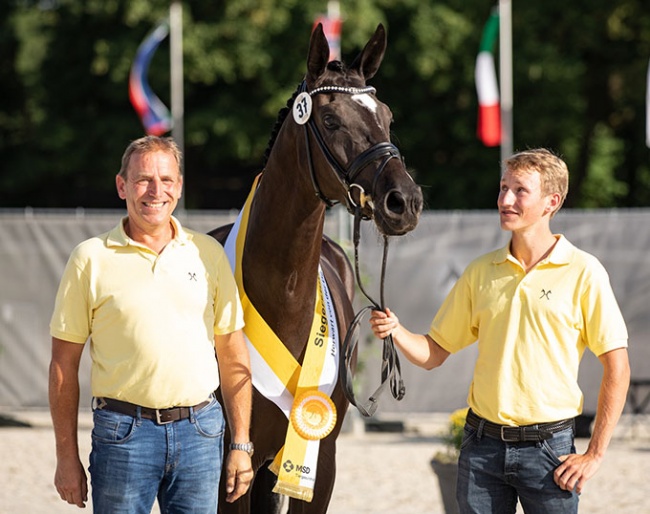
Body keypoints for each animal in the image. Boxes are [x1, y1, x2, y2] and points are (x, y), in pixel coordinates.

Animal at [208, 22, 420, 510]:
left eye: (388, 117)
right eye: (330, 120)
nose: (403, 201)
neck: (283, 303)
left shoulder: (320, 462)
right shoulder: (231, 470)